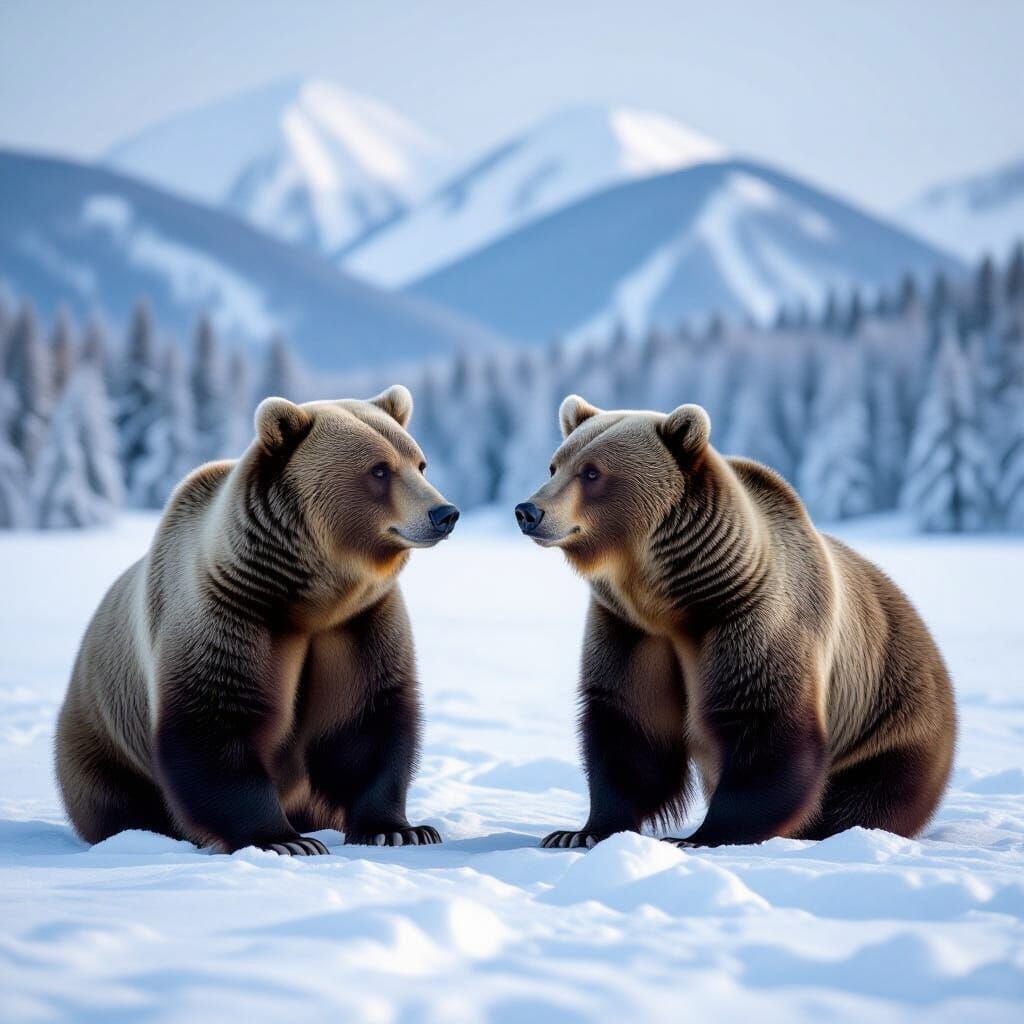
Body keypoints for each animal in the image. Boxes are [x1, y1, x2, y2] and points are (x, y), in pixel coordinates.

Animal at [56, 385, 459, 854]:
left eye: (419, 462)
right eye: (379, 469)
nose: (444, 513)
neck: (310, 599)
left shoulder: (360, 623)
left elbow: (368, 720)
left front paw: (398, 829)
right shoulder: (232, 611)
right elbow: (215, 720)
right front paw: (284, 840)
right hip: (103, 735)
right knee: (114, 794)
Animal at [515, 395, 956, 849]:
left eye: (592, 472)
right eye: (555, 465)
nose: (528, 511)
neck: (671, 599)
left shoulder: (745, 618)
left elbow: (763, 722)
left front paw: (702, 836)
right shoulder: (630, 630)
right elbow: (628, 724)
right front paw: (579, 832)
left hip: (888, 716)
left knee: (871, 791)